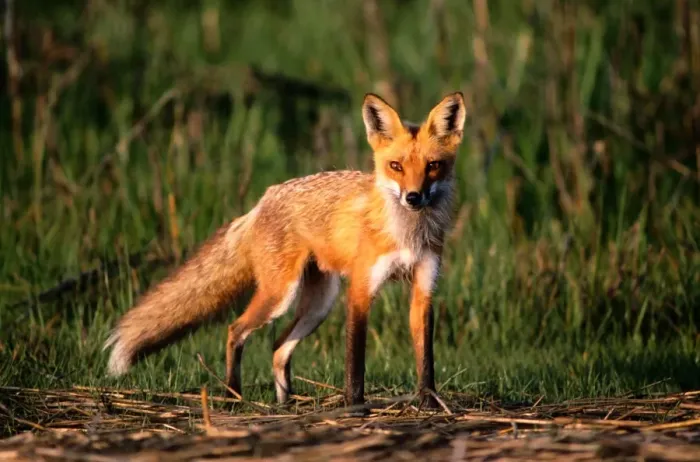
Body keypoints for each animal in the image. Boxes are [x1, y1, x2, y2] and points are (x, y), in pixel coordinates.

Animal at [104, 91, 467, 410]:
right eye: (396, 166)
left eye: (433, 166)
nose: (413, 197)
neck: (408, 234)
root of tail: (263, 199)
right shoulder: (361, 291)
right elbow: (355, 361)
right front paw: (354, 406)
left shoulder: (424, 289)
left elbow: (425, 359)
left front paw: (429, 403)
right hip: (281, 295)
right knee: (235, 330)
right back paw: (234, 397)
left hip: (318, 304)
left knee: (278, 347)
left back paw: (285, 403)